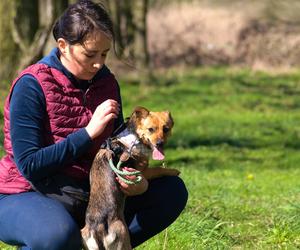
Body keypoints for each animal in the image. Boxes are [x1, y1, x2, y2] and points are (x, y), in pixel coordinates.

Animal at [81, 106, 180, 250]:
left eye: (166, 129)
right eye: (151, 129)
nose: (160, 143)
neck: (135, 136)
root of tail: (98, 230)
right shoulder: (143, 171)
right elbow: (159, 169)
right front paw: (174, 171)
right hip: (123, 237)